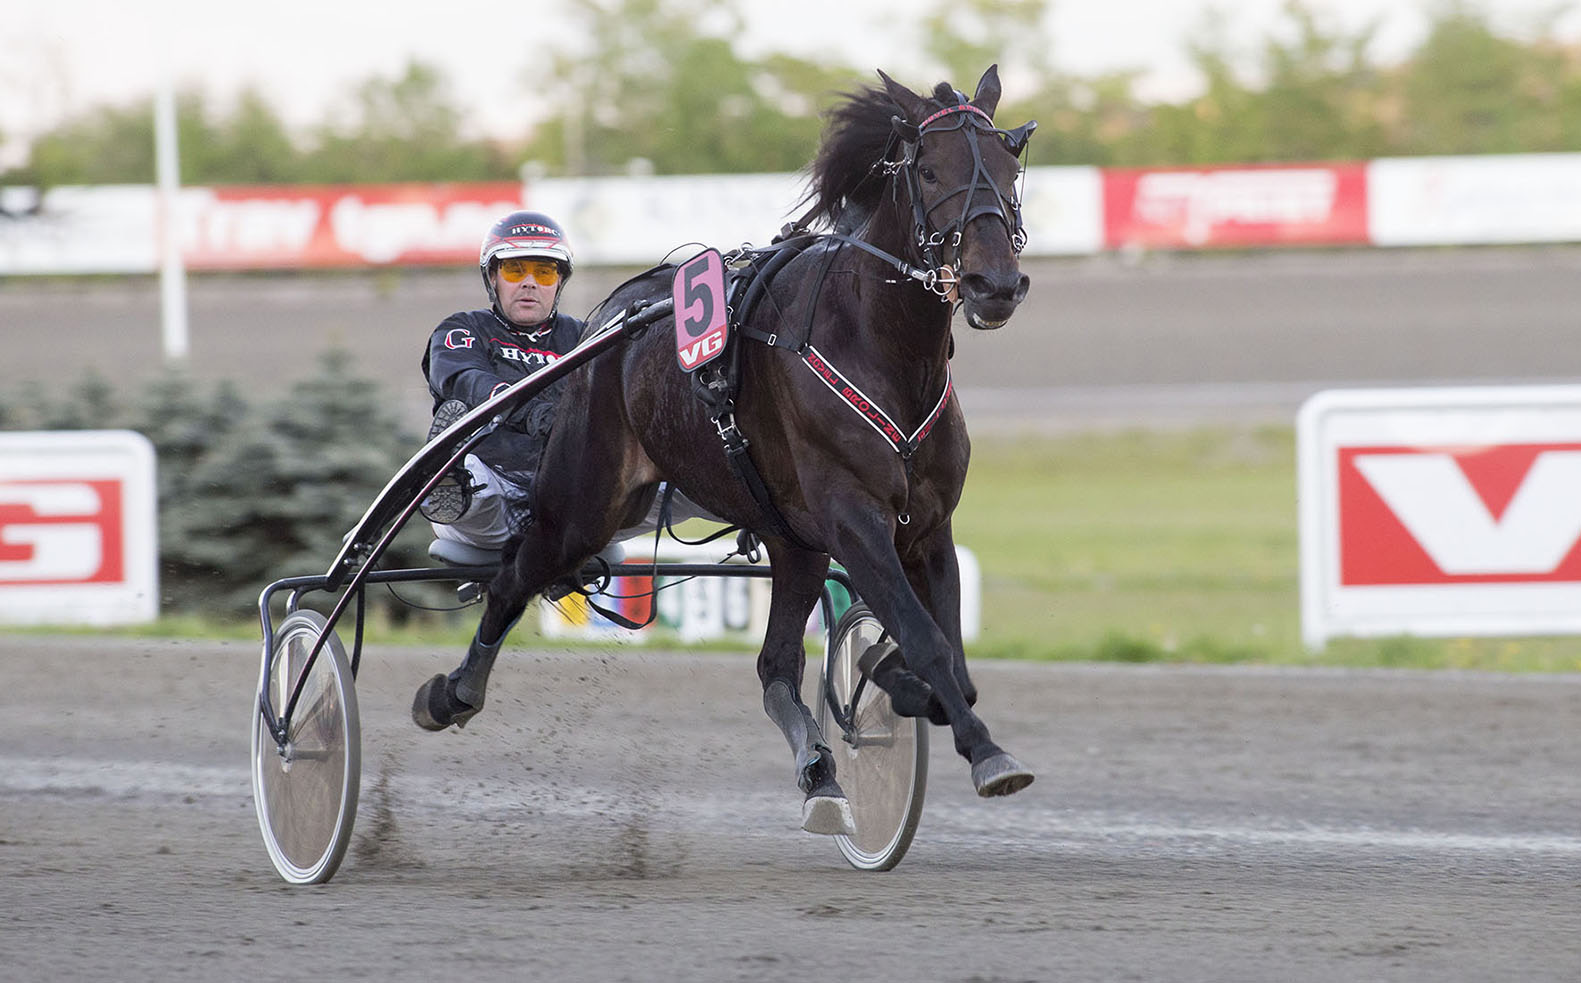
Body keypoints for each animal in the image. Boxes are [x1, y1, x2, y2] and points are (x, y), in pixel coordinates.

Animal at [414, 61, 1043, 834]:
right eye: (928, 170)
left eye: (1009, 167)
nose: (994, 283)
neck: (881, 346)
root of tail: (613, 322)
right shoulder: (852, 517)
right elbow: (925, 640)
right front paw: (984, 750)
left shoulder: (924, 528)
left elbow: (946, 654)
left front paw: (896, 681)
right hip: (583, 504)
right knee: (511, 579)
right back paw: (452, 691)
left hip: (790, 540)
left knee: (773, 667)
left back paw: (820, 772)